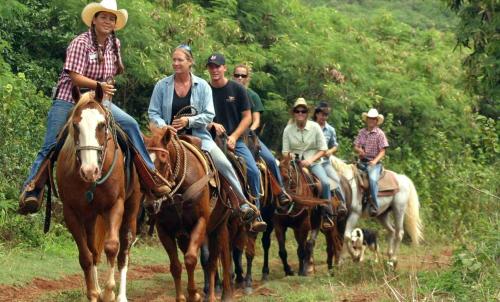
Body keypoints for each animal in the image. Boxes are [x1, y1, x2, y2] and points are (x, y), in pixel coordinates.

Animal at [57, 86, 143, 300]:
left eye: (101, 124)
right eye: (75, 125)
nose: (90, 171)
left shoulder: (115, 205)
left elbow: (112, 247)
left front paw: (109, 292)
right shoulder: (71, 212)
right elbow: (86, 256)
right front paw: (93, 293)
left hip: (131, 207)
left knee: (124, 250)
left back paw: (121, 296)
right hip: (90, 217)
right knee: (94, 250)